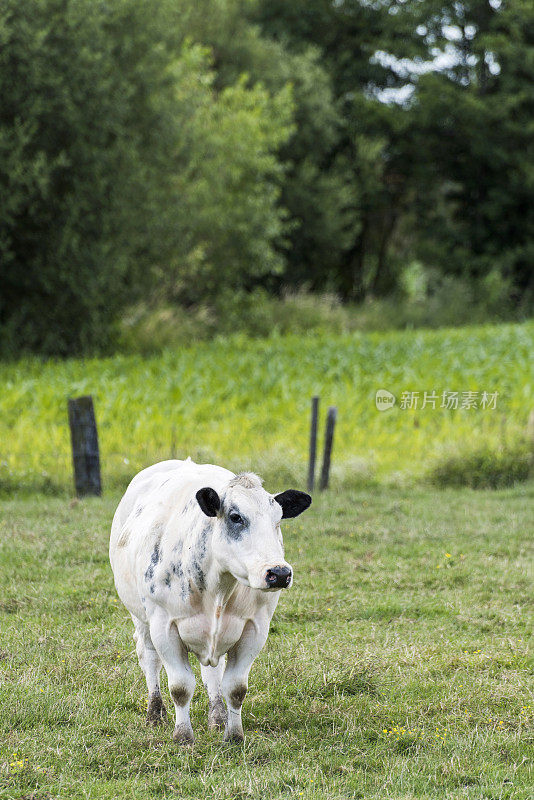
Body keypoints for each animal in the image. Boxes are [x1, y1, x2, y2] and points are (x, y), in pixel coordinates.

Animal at [109, 460, 312, 748]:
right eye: (236, 517)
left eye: (278, 520)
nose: (279, 573)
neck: (218, 588)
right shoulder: (164, 626)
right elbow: (180, 687)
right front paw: (183, 736)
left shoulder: (256, 628)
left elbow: (236, 688)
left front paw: (234, 734)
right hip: (140, 616)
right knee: (148, 657)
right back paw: (155, 713)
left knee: (212, 673)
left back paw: (217, 717)